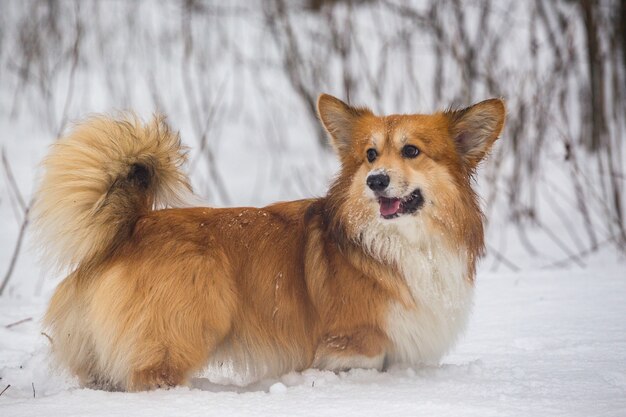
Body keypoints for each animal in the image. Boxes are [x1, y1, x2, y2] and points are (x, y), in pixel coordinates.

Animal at [31, 93, 504, 390]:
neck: (404, 243)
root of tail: (131, 227)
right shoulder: (351, 344)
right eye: (370, 155)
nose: (376, 181)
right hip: (184, 329)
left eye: (411, 151)